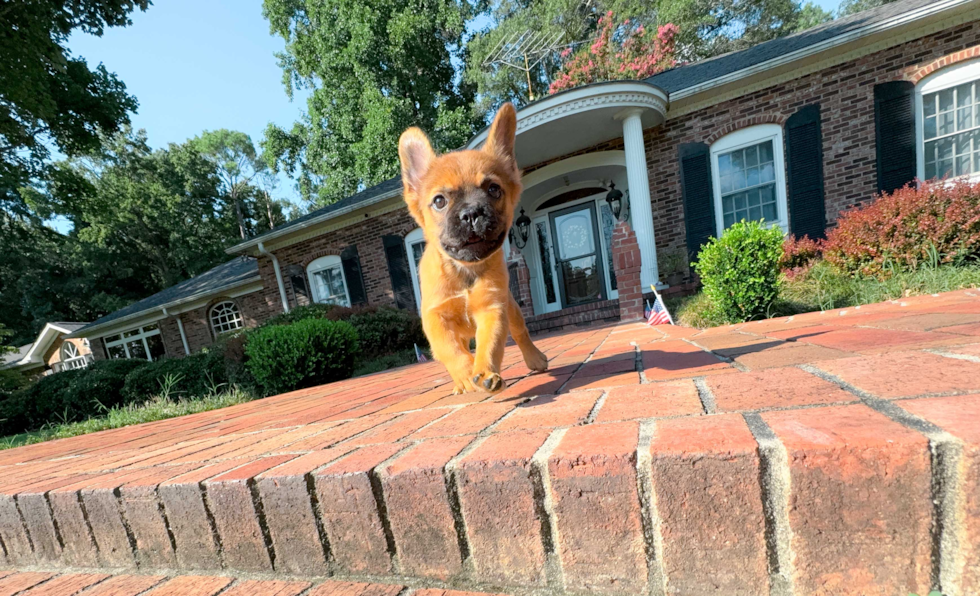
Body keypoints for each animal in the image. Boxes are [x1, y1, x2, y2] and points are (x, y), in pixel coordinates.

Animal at [398, 103, 552, 394]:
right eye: (439, 201)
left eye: (494, 190)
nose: (472, 213)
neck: (464, 270)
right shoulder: (435, 318)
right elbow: (450, 349)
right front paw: (466, 374)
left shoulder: (493, 309)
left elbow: (490, 344)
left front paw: (485, 372)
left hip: (512, 308)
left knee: (521, 332)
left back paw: (535, 358)